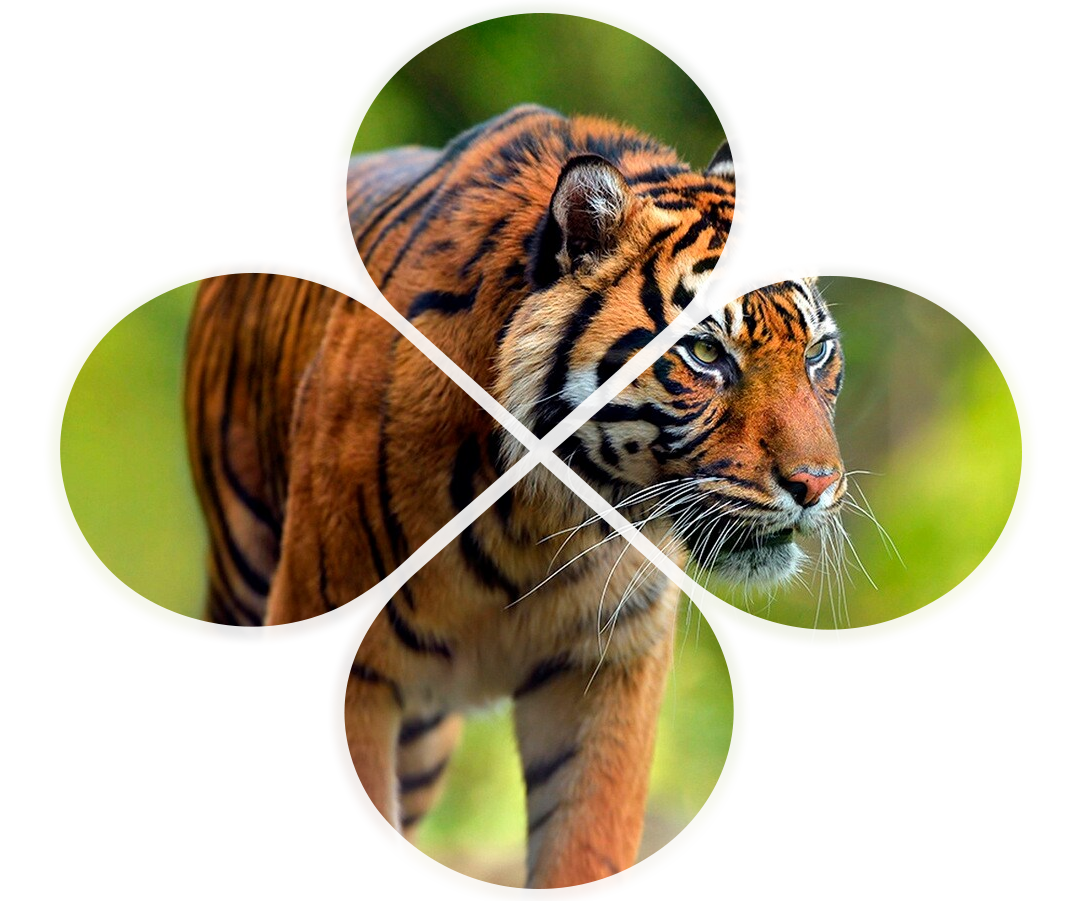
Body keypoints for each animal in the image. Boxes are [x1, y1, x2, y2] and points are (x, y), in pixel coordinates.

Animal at [184, 103, 845, 901]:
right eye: (707, 355)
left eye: (816, 353)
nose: (818, 483)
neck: (546, 511)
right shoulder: (323, 658)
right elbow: (353, 862)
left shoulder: (606, 666)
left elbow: (584, 852)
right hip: (243, 620)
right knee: (245, 819)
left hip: (421, 734)